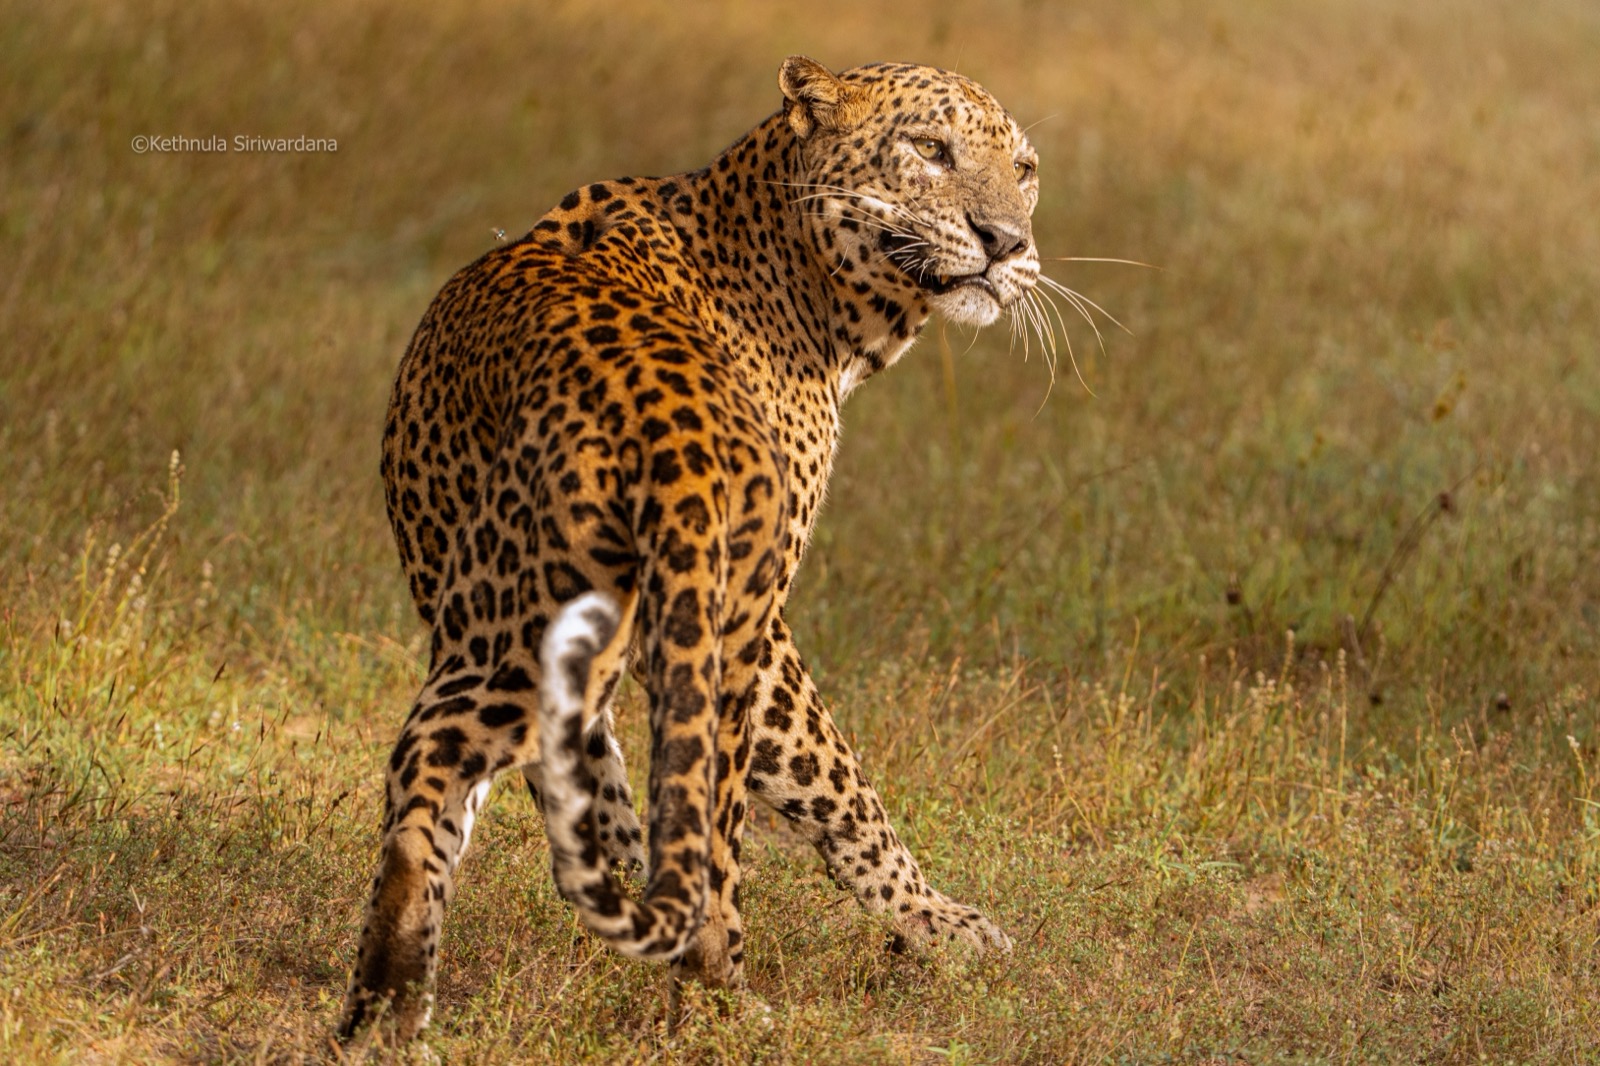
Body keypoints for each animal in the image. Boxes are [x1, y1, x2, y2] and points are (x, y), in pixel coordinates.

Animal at [339, 55, 1042, 1044]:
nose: (1006, 241)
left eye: (1023, 170)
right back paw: (722, 1000)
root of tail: (659, 413)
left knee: (429, 773)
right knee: (712, 833)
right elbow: (833, 773)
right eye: (931, 150)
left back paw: (389, 1010)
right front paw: (931, 917)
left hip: (506, 632)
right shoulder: (764, 615)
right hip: (709, 628)